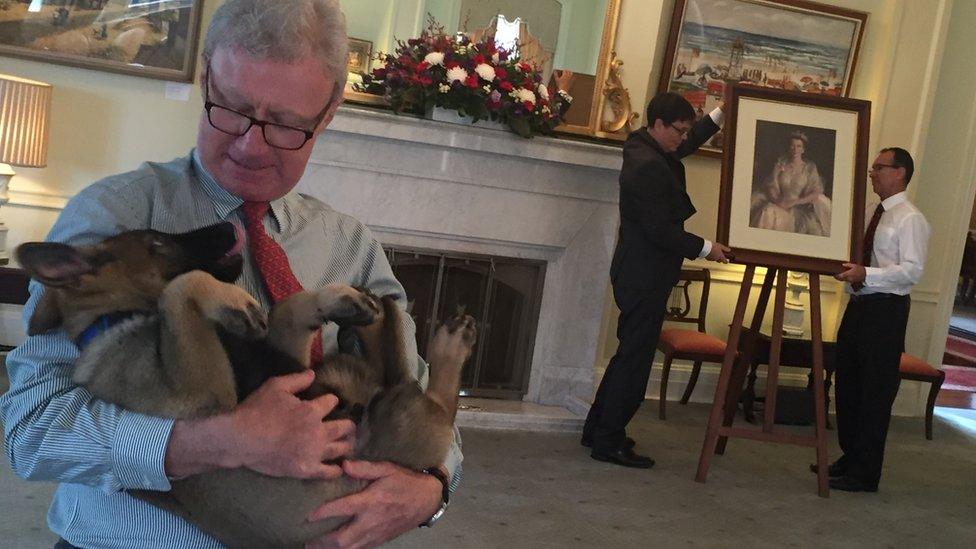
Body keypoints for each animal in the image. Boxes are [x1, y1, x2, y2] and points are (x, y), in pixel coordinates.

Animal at [13, 222, 474, 548]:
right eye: (156, 242)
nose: (227, 227)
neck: (116, 318)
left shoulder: (295, 363)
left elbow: (287, 308)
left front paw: (334, 300)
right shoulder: (203, 397)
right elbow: (179, 287)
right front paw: (232, 301)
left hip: (338, 375)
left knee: (395, 367)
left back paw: (371, 309)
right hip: (400, 414)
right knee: (429, 395)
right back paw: (445, 340)